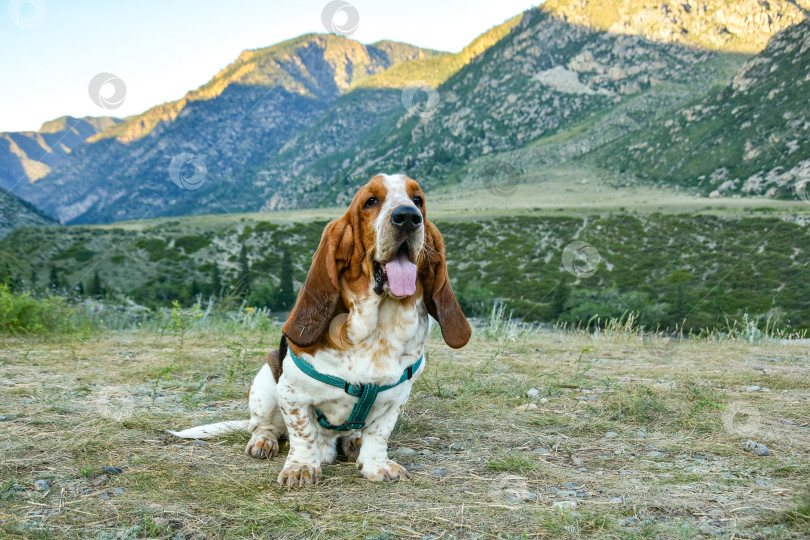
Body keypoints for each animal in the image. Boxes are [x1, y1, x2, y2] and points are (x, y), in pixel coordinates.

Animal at [174, 176, 470, 486]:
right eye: (370, 202)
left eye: (418, 200)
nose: (408, 217)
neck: (378, 328)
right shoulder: (291, 394)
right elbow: (303, 433)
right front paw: (301, 467)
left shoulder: (396, 399)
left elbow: (379, 434)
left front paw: (375, 465)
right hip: (265, 381)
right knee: (264, 426)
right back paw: (264, 441)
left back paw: (352, 441)